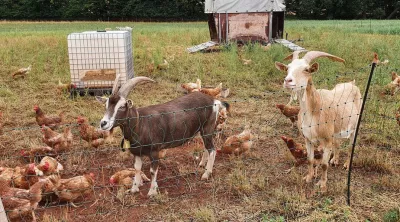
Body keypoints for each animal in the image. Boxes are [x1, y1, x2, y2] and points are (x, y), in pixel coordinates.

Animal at [276, 51, 362, 192]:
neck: (314, 110)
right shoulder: (308, 139)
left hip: (355, 126)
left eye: (306, 69)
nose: (288, 81)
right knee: (337, 143)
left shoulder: (326, 141)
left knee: (351, 146)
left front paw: (322, 185)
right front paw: (308, 178)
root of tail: (352, 83)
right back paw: (335, 160)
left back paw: (346, 165)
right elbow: (310, 160)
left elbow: (323, 165)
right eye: (287, 68)